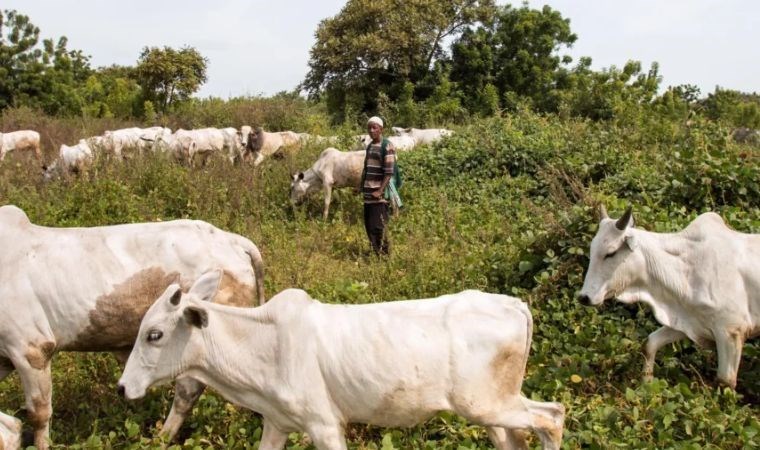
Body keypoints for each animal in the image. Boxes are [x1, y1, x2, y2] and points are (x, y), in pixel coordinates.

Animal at [117, 274, 564, 450]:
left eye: (154, 334)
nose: (123, 388)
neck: (263, 345)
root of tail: (514, 304)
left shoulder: (325, 424)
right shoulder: (277, 423)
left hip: (484, 404)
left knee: (552, 416)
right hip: (493, 409)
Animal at [580, 206, 760, 388]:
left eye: (611, 253)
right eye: (592, 250)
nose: (584, 297)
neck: (687, 269)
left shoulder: (731, 331)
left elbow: (725, 381)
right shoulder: (687, 322)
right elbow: (650, 344)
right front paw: (647, 385)